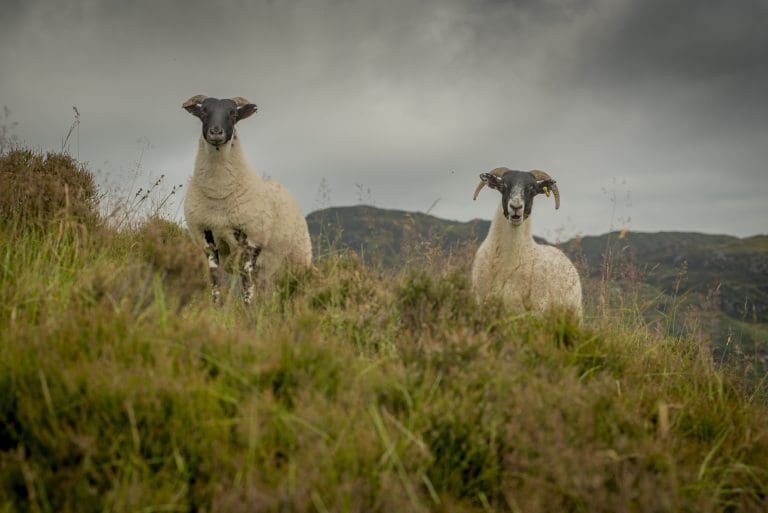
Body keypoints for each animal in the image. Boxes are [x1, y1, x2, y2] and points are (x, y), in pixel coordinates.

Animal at [182, 94, 312, 304]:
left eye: (233, 114)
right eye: (203, 112)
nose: (216, 132)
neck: (219, 194)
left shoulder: (251, 240)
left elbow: (246, 287)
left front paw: (249, 309)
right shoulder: (207, 239)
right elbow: (216, 284)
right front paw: (217, 308)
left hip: (298, 259)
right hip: (267, 269)